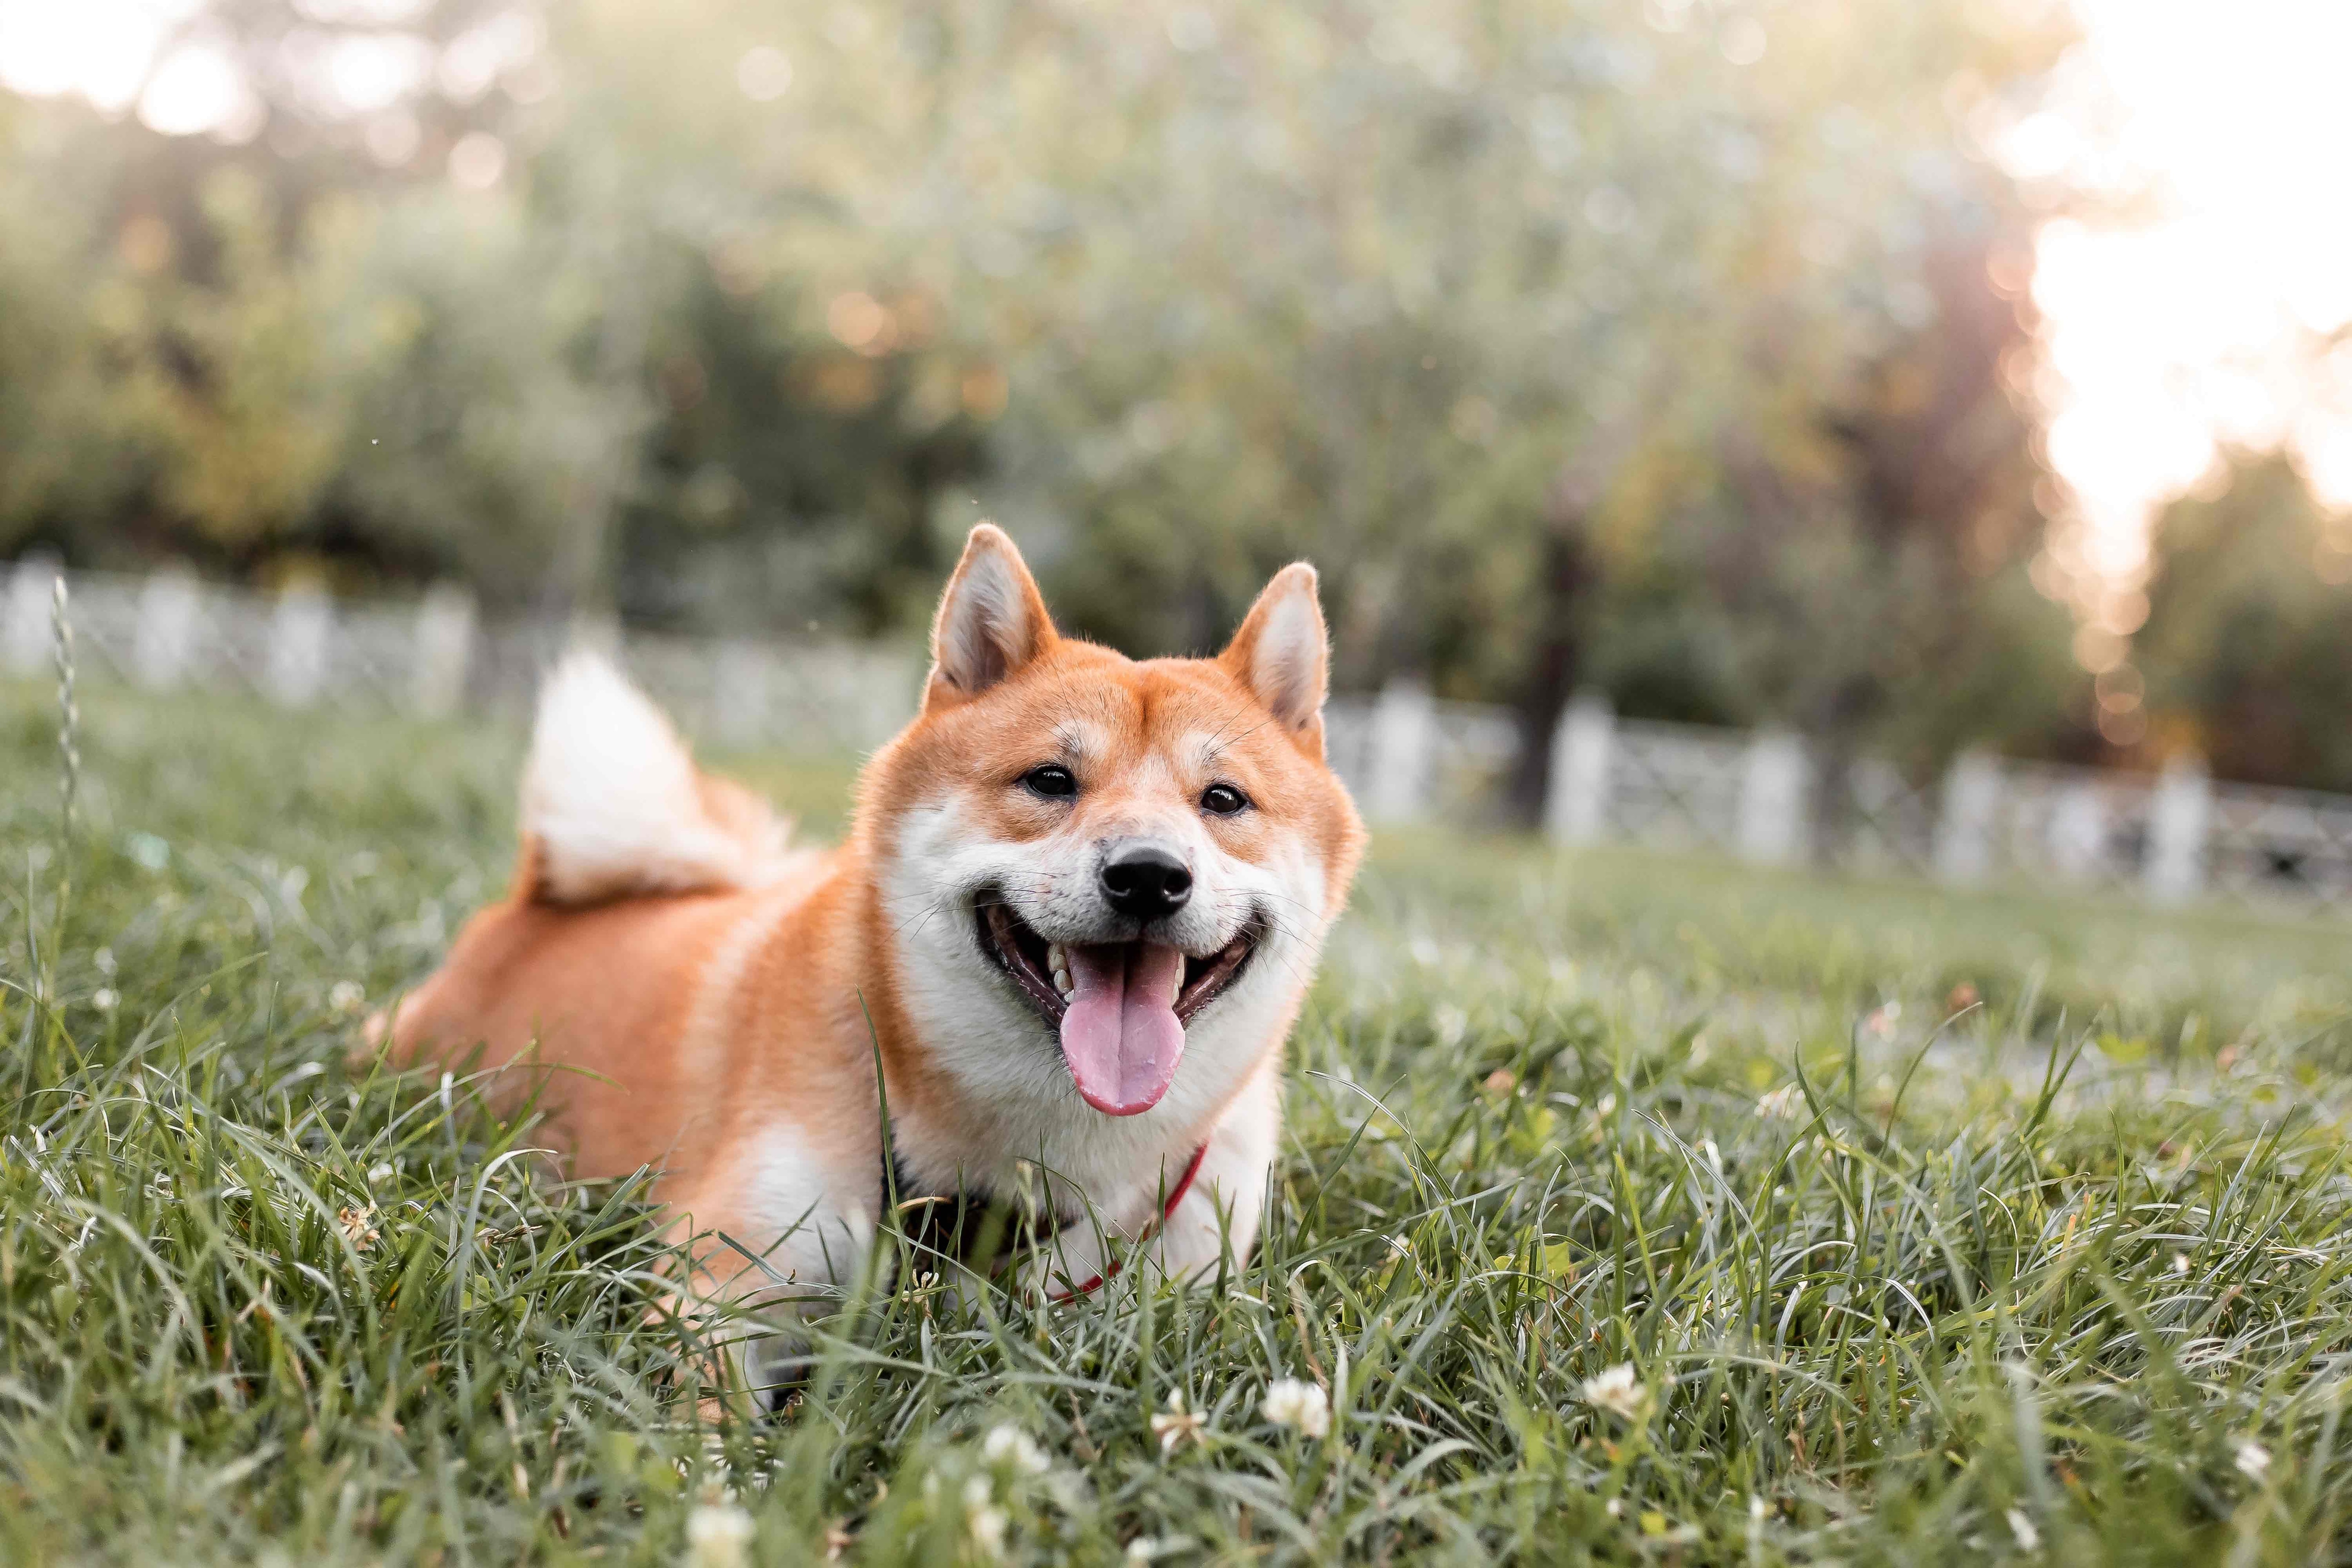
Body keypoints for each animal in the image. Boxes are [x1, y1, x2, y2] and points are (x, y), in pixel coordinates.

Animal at [374, 526, 1374, 1335]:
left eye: (1224, 800)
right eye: (1051, 781)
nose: (1150, 874)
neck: (1038, 1164)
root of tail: (538, 899)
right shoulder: (725, 1289)